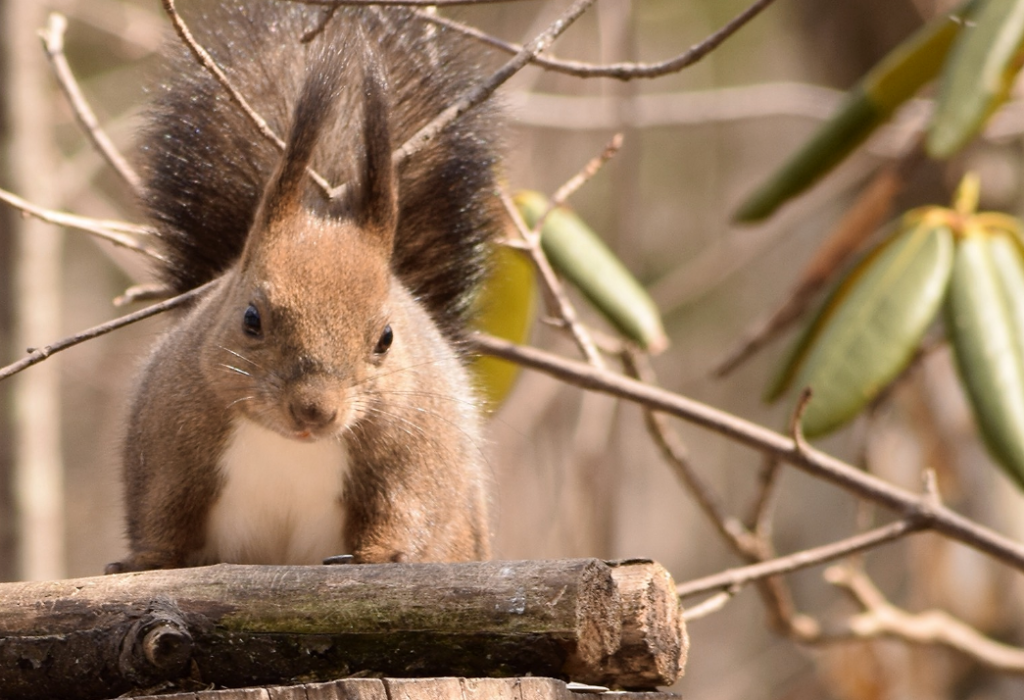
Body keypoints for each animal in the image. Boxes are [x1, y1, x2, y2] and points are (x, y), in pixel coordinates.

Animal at [105, 0, 501, 573]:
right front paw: (149, 561)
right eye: (251, 319)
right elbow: (164, 511)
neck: (293, 445)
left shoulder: (416, 447)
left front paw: (383, 555)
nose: (314, 410)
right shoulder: (169, 438)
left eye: (386, 337)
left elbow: (405, 506)